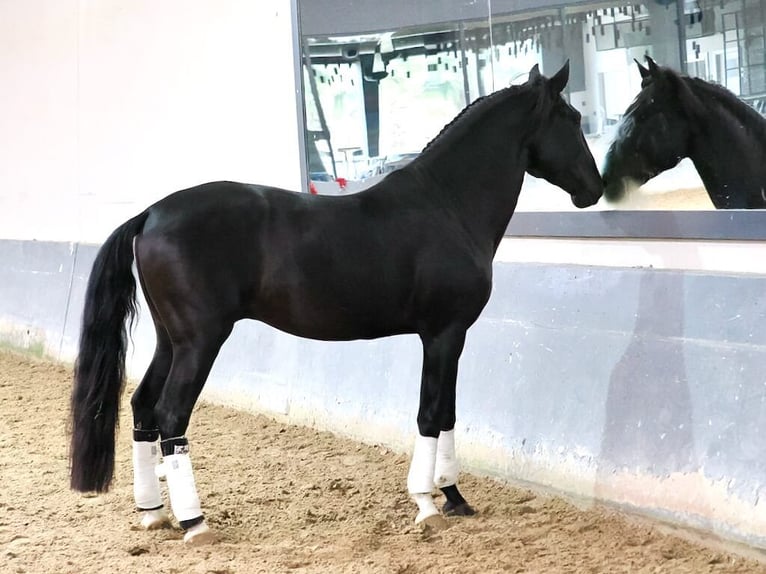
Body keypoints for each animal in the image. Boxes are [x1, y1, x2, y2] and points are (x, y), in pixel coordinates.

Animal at [69, 62, 604, 544]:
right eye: (571, 119)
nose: (594, 189)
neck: (446, 205)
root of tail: (151, 214)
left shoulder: (450, 337)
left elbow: (448, 413)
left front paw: (455, 498)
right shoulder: (443, 333)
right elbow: (431, 413)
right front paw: (427, 504)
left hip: (171, 340)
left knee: (142, 406)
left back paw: (153, 513)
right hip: (201, 342)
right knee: (171, 415)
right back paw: (194, 522)